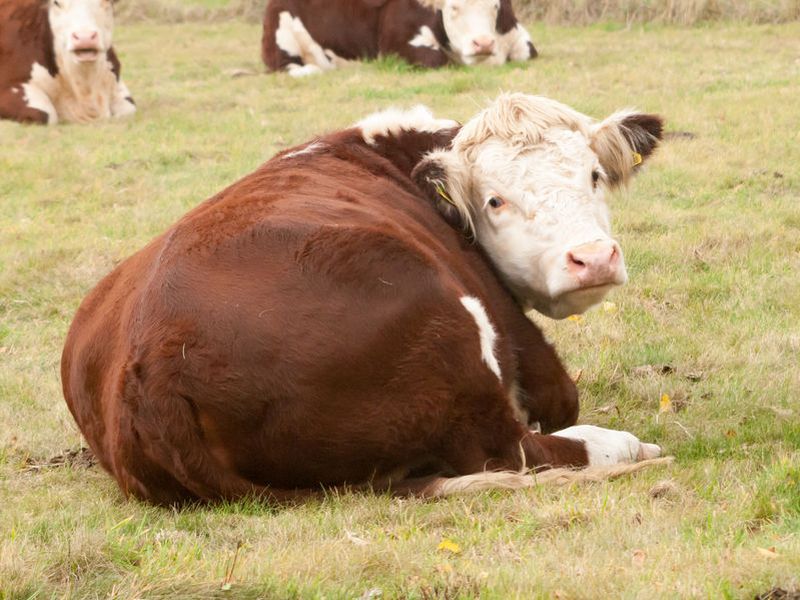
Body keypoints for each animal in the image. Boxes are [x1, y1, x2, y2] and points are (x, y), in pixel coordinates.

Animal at [61, 92, 664, 506]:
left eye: (594, 175)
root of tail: (153, 367)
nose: (592, 257)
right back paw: (632, 447)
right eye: (495, 200)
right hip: (443, 327)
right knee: (513, 450)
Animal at [262, 0, 536, 77]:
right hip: (282, 35)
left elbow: (527, 53)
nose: (483, 43)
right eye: (454, 7)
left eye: (494, 6)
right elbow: (436, 60)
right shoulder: (398, 46)